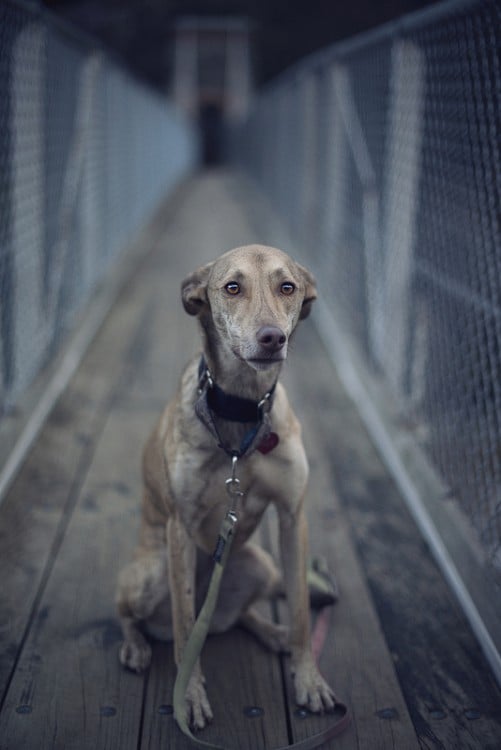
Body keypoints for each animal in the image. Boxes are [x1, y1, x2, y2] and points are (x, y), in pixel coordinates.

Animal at [116, 247, 336, 736]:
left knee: (239, 616)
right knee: (133, 616)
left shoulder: (293, 517)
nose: (272, 338)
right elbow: (184, 630)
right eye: (232, 287)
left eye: (287, 287)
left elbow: (298, 609)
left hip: (260, 564)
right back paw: (136, 647)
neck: (241, 408)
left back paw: (275, 636)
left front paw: (309, 679)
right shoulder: (179, 528)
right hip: (151, 572)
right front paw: (190, 697)